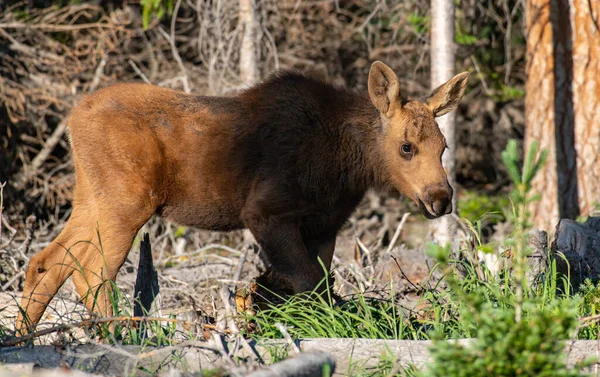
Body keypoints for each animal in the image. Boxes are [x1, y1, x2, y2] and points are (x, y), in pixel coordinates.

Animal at [16, 61, 468, 334]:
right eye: (407, 147)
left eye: (444, 146)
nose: (440, 199)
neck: (350, 166)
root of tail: (72, 118)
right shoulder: (266, 212)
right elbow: (305, 282)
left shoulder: (325, 226)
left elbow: (314, 286)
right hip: (126, 203)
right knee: (92, 273)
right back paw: (119, 340)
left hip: (90, 198)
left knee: (46, 263)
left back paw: (27, 337)